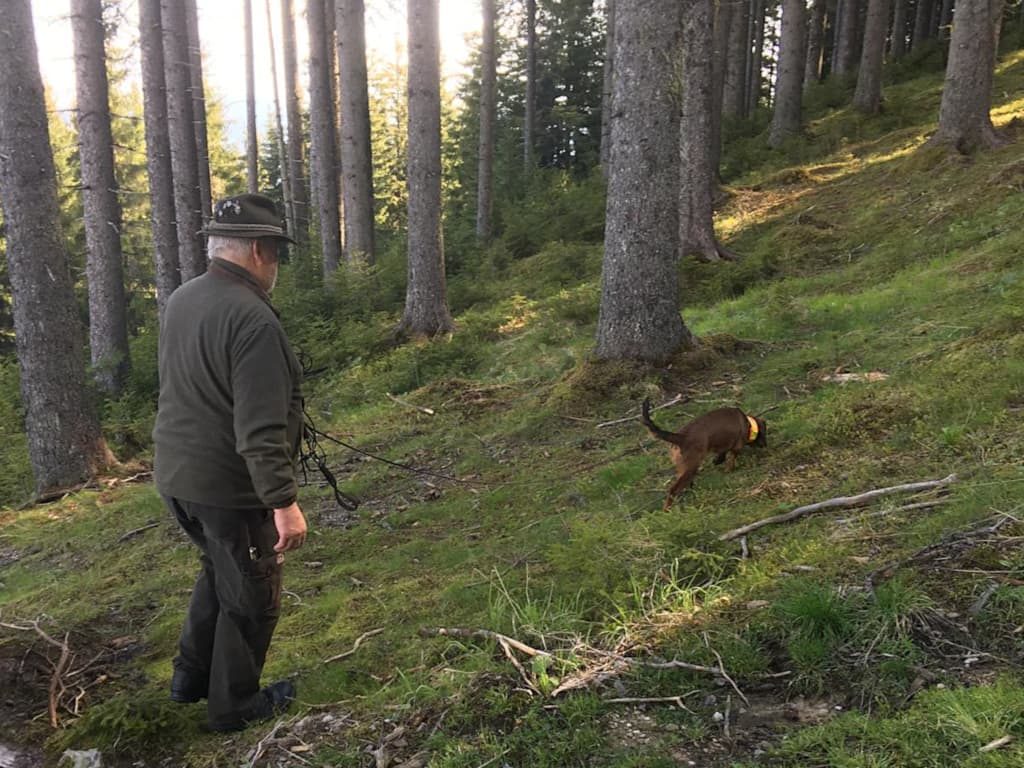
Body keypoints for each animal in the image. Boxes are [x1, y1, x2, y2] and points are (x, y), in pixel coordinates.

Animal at [638, 399, 770, 507]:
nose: (765, 446)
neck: (748, 423)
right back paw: (668, 509)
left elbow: (722, 454)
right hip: (691, 466)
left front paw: (717, 461)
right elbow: (731, 459)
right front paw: (728, 469)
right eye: (764, 434)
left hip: (684, 468)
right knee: (673, 490)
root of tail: (680, 437)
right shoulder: (737, 446)